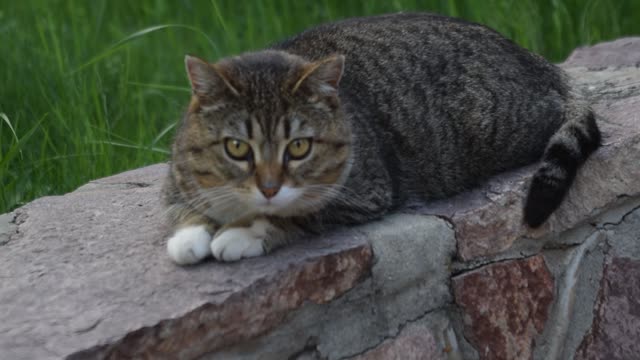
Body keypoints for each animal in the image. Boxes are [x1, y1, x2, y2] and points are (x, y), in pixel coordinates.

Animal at [161, 11, 600, 264]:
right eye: (237, 147)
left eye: (299, 147)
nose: (268, 188)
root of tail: (533, 58)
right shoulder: (178, 177)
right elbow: (182, 207)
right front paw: (190, 236)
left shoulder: (365, 193)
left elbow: (298, 213)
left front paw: (243, 233)